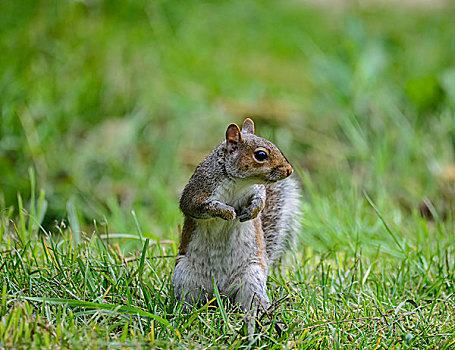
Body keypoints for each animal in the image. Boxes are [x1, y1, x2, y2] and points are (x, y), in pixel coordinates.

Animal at [173, 117, 302, 334]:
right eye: (261, 155)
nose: (289, 170)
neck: (238, 184)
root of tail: (221, 293)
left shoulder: (255, 190)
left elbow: (260, 199)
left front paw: (252, 211)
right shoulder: (198, 191)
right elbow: (196, 207)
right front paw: (226, 212)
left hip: (252, 279)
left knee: (251, 305)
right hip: (185, 279)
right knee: (190, 302)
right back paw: (184, 317)